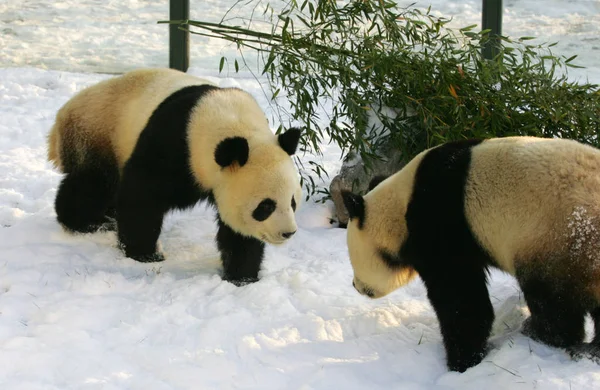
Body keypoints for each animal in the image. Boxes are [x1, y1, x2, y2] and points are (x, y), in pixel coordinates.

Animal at [47, 68, 302, 284]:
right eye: (266, 206)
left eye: (292, 202)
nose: (288, 232)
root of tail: (61, 116)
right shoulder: (173, 144)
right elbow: (142, 195)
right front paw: (145, 254)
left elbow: (238, 232)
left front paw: (242, 276)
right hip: (96, 134)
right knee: (92, 184)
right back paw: (87, 222)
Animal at [340, 136, 600, 372]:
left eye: (353, 259)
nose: (355, 285)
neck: (400, 206)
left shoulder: (440, 222)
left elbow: (460, 296)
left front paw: (462, 361)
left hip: (559, 240)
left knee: (552, 298)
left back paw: (543, 333)